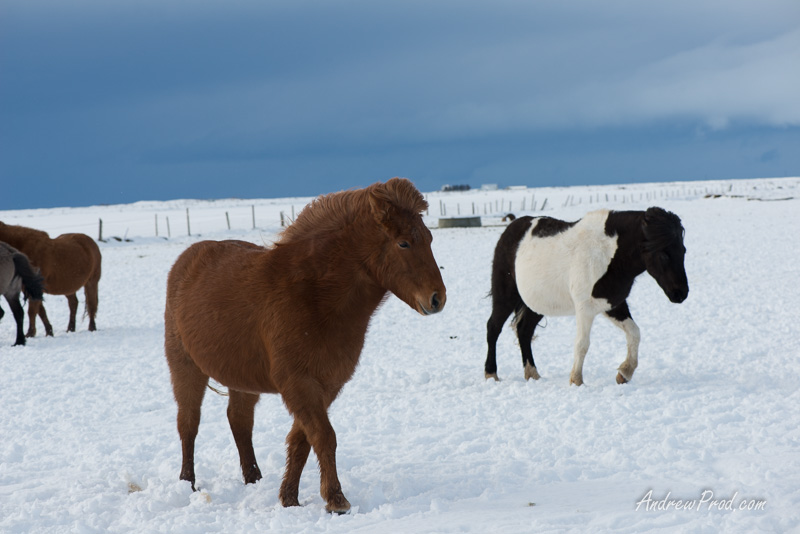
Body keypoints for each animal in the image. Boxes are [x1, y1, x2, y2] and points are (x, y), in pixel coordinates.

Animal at [165, 179, 446, 516]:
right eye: (403, 243)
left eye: (429, 238)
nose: (437, 298)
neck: (313, 295)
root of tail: (186, 260)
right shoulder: (298, 383)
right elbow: (323, 436)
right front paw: (336, 500)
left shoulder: (326, 385)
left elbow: (302, 439)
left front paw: (289, 497)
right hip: (185, 367)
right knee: (188, 422)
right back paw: (187, 483)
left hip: (241, 379)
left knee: (239, 420)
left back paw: (254, 478)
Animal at [484, 207, 692, 388]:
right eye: (664, 254)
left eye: (683, 251)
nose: (681, 294)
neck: (608, 255)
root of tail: (510, 229)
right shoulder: (584, 308)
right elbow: (582, 344)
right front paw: (576, 380)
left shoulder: (613, 305)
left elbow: (635, 333)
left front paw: (624, 373)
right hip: (506, 296)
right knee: (493, 328)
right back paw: (491, 374)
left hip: (537, 304)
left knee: (524, 330)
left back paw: (532, 374)